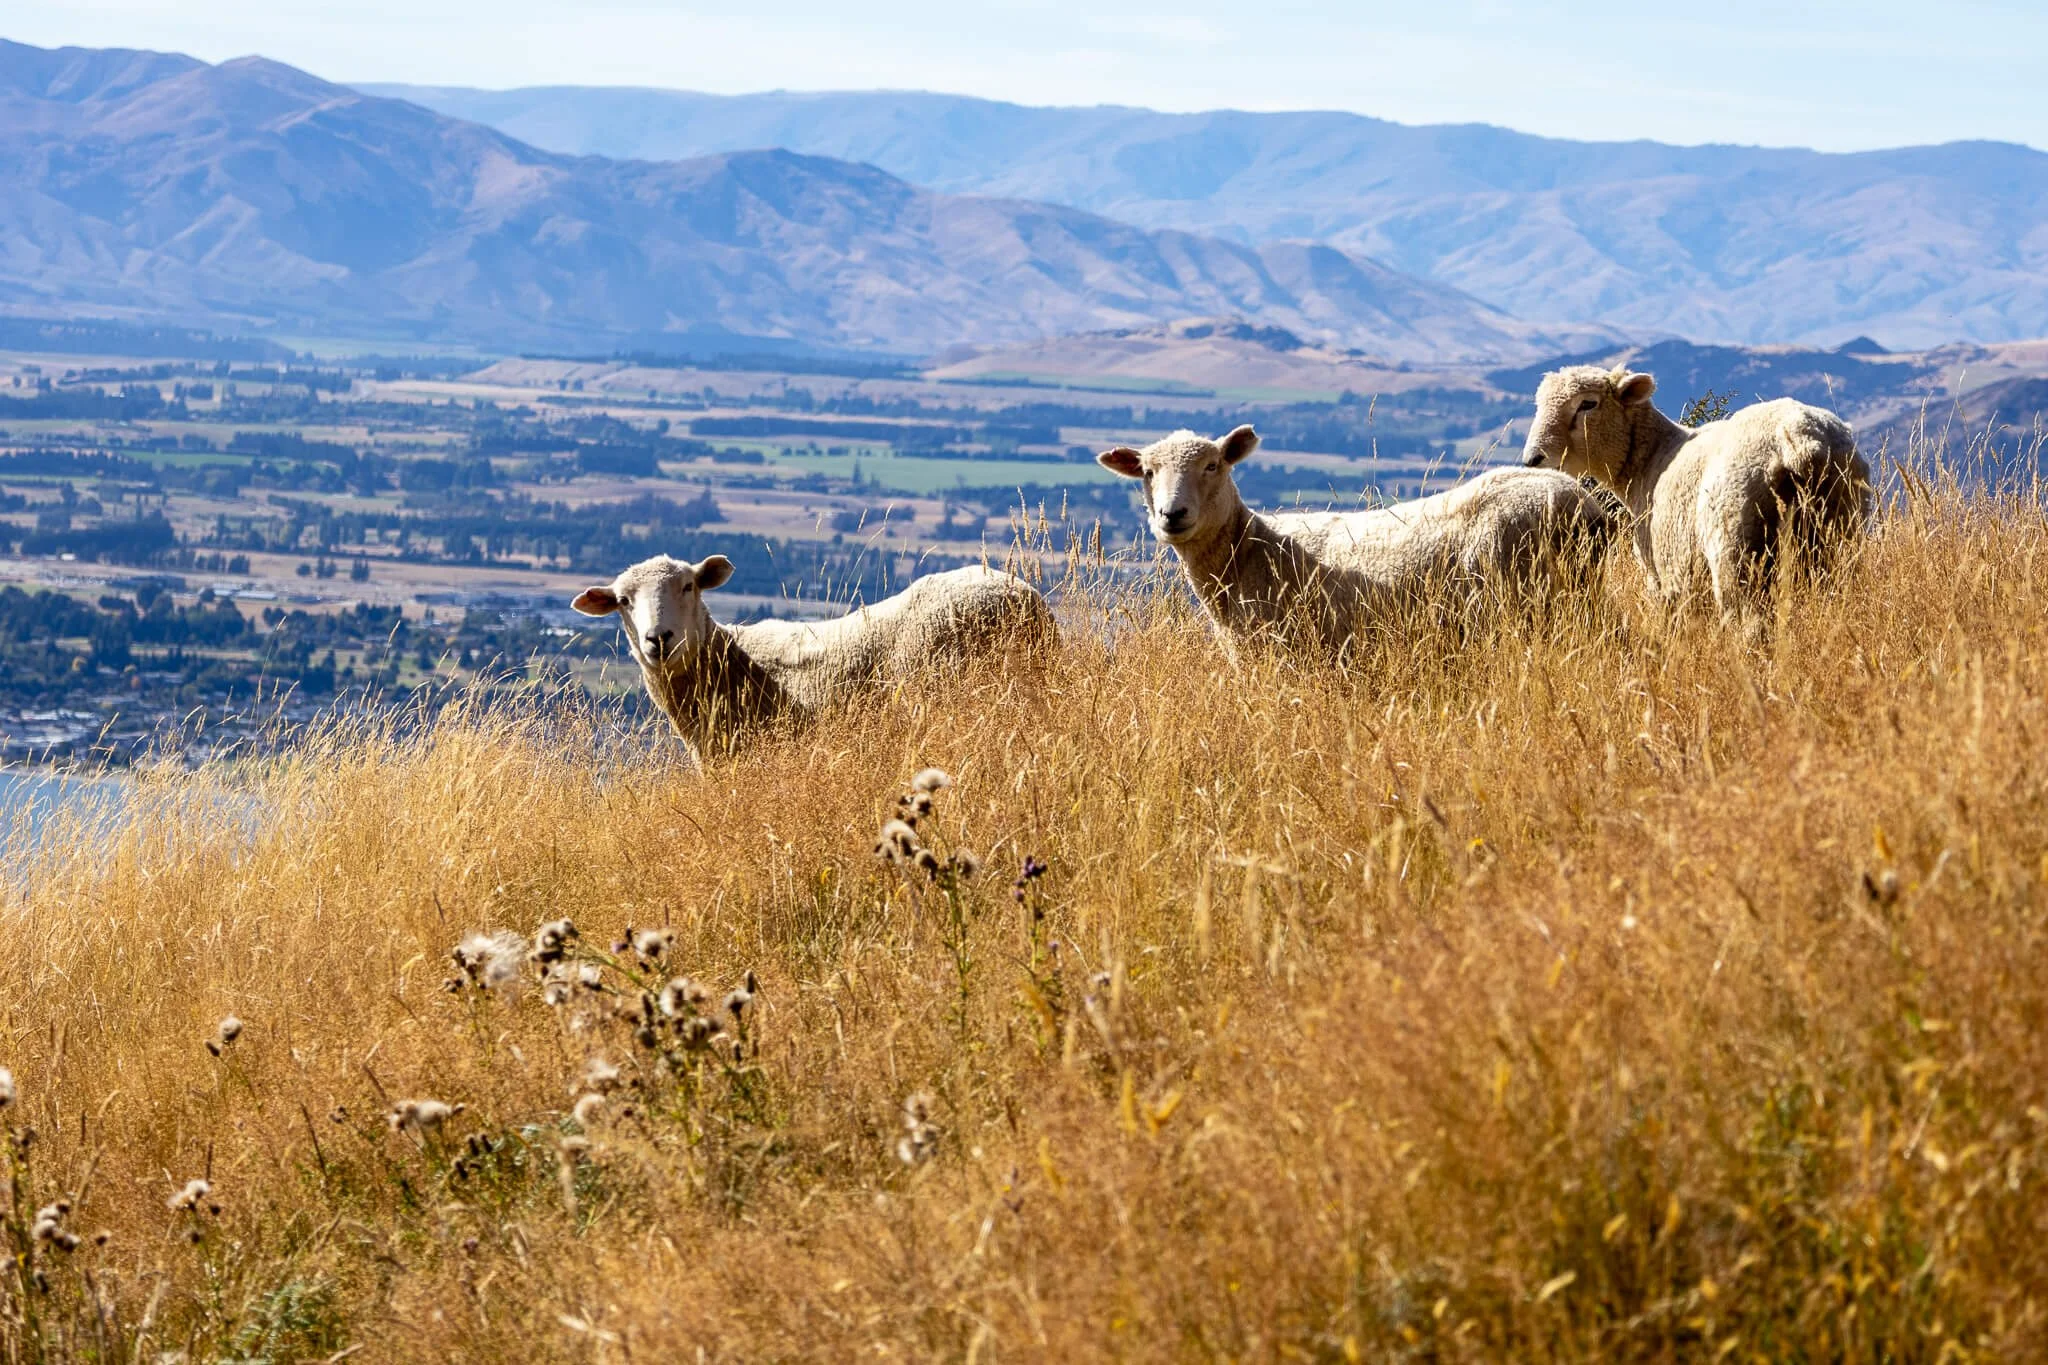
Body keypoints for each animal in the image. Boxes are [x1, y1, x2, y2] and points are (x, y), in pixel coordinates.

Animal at [1521, 367, 1871, 632]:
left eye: (1587, 404)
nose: (1533, 459)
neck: (1649, 458)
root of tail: (1798, 439)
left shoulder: (1661, 572)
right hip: (1838, 529)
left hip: (1737, 540)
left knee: (1748, 620)